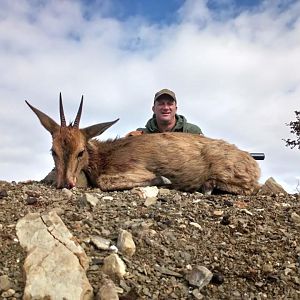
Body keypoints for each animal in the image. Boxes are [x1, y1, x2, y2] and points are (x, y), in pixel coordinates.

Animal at [25, 95, 260, 196]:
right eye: (53, 151)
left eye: (81, 151)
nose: (65, 183)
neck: (104, 156)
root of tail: (253, 162)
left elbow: (104, 181)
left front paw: (163, 179)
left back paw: (208, 186)